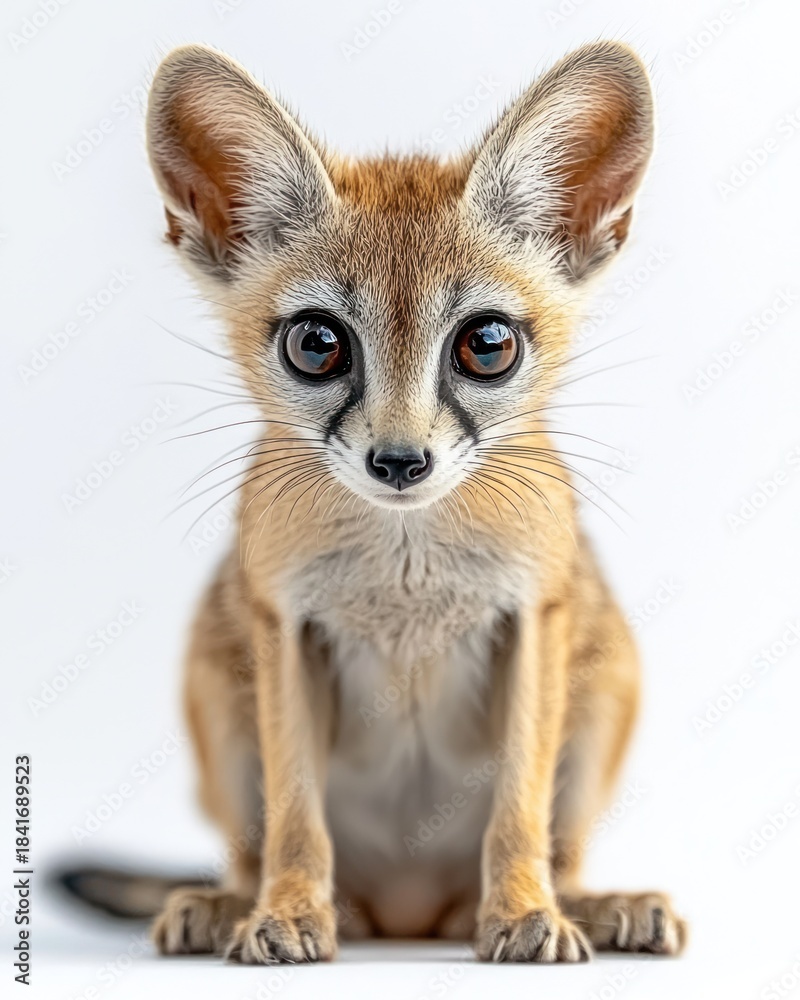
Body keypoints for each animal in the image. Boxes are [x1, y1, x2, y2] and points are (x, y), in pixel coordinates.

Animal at [62, 40, 687, 964]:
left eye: (487, 344)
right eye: (318, 344)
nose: (398, 461)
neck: (405, 570)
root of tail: (408, 917)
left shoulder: (536, 620)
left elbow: (519, 809)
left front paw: (523, 911)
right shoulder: (284, 628)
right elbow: (295, 818)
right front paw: (287, 911)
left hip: (607, 684)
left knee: (557, 845)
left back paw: (590, 904)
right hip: (218, 693)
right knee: (253, 852)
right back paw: (235, 904)